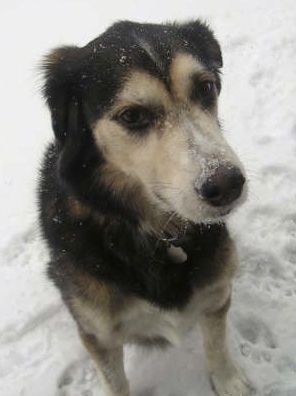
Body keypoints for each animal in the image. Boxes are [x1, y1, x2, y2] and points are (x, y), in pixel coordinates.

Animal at [38, 19, 251, 396]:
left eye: (206, 87)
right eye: (133, 115)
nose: (227, 185)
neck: (157, 233)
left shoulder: (217, 292)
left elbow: (216, 344)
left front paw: (227, 380)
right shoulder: (97, 332)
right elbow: (115, 383)